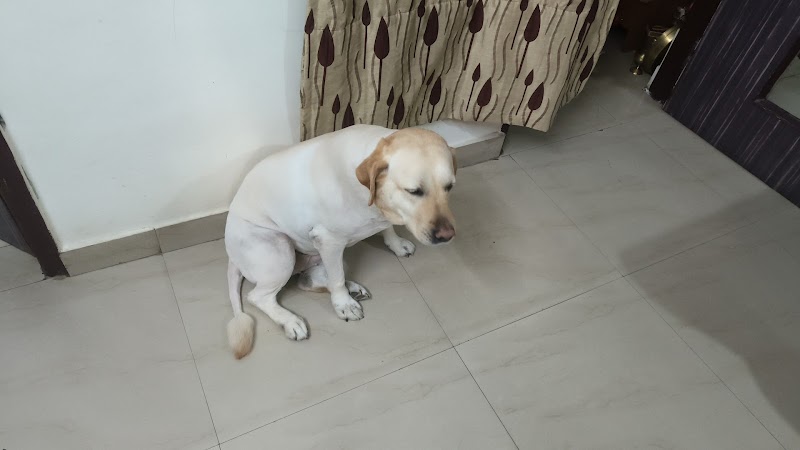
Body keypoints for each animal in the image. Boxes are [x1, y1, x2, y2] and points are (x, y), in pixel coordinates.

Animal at [225, 125, 457, 358]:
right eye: (414, 191)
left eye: (449, 187)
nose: (447, 236)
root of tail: (231, 254)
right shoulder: (329, 241)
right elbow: (336, 280)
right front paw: (343, 305)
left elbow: (387, 229)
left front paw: (397, 244)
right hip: (280, 252)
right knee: (259, 297)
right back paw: (291, 320)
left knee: (306, 281)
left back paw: (351, 287)